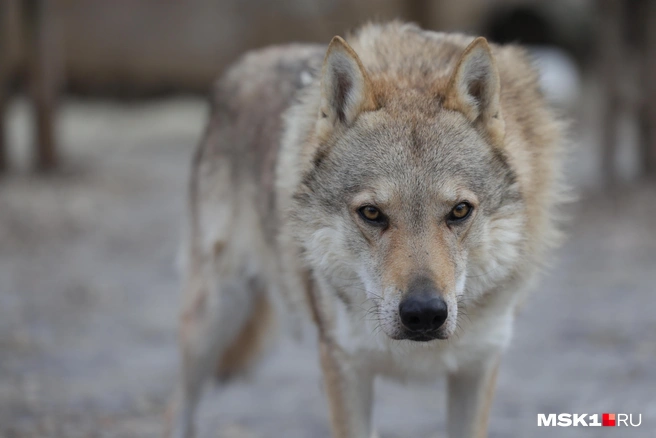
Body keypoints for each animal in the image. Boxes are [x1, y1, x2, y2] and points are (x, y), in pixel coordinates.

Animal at [167, 21, 568, 438]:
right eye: (372, 213)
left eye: (459, 211)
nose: (424, 313)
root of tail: (243, 63)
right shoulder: (343, 365)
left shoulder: (478, 366)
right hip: (214, 315)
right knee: (176, 405)